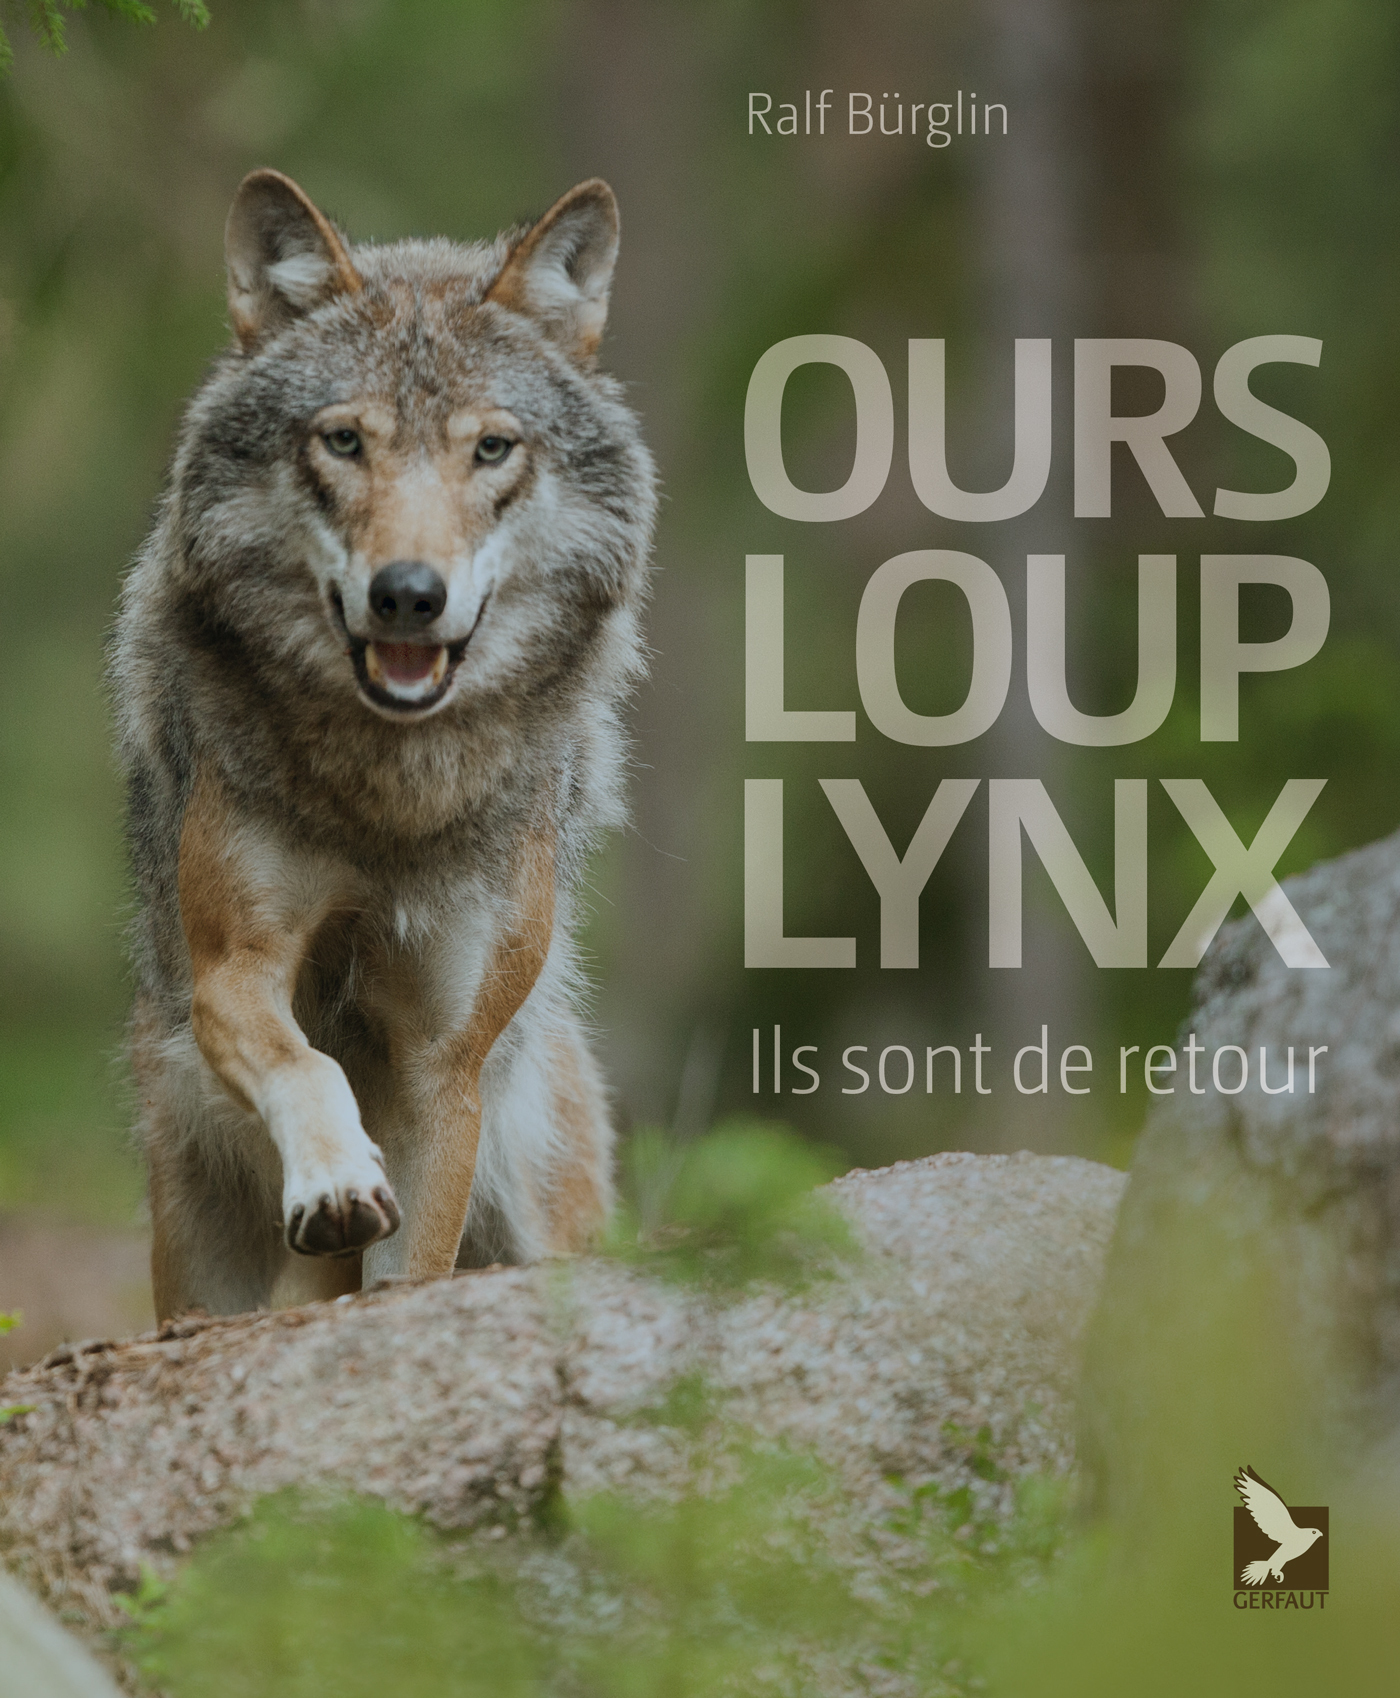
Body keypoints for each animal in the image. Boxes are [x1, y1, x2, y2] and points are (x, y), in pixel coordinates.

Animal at [111, 169, 657, 1320]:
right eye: (344, 441)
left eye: (490, 447)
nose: (409, 594)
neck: (393, 794)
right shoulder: (236, 969)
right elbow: (306, 1066)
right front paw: (333, 1179)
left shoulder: (443, 1063)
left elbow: (411, 1271)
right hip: (195, 1247)